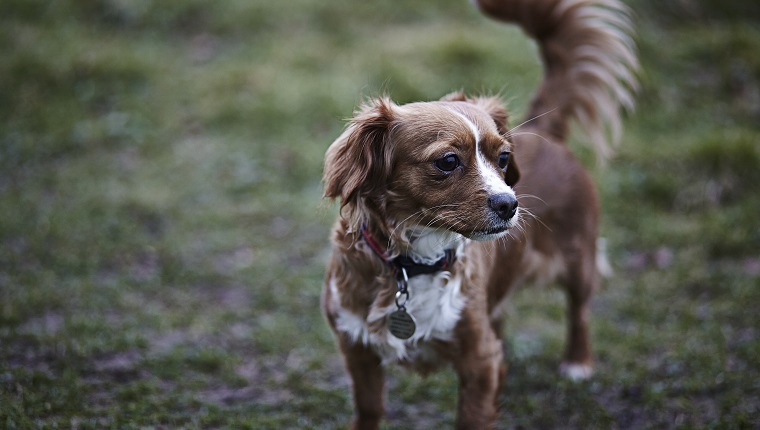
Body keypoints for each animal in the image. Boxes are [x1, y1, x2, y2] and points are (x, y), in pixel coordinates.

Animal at [320, 0, 636, 426]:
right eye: (448, 161)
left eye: (503, 158)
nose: (510, 204)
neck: (413, 263)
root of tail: (547, 132)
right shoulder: (358, 352)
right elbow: (369, 410)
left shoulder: (478, 360)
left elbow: (473, 413)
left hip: (578, 256)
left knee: (580, 310)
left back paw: (577, 362)